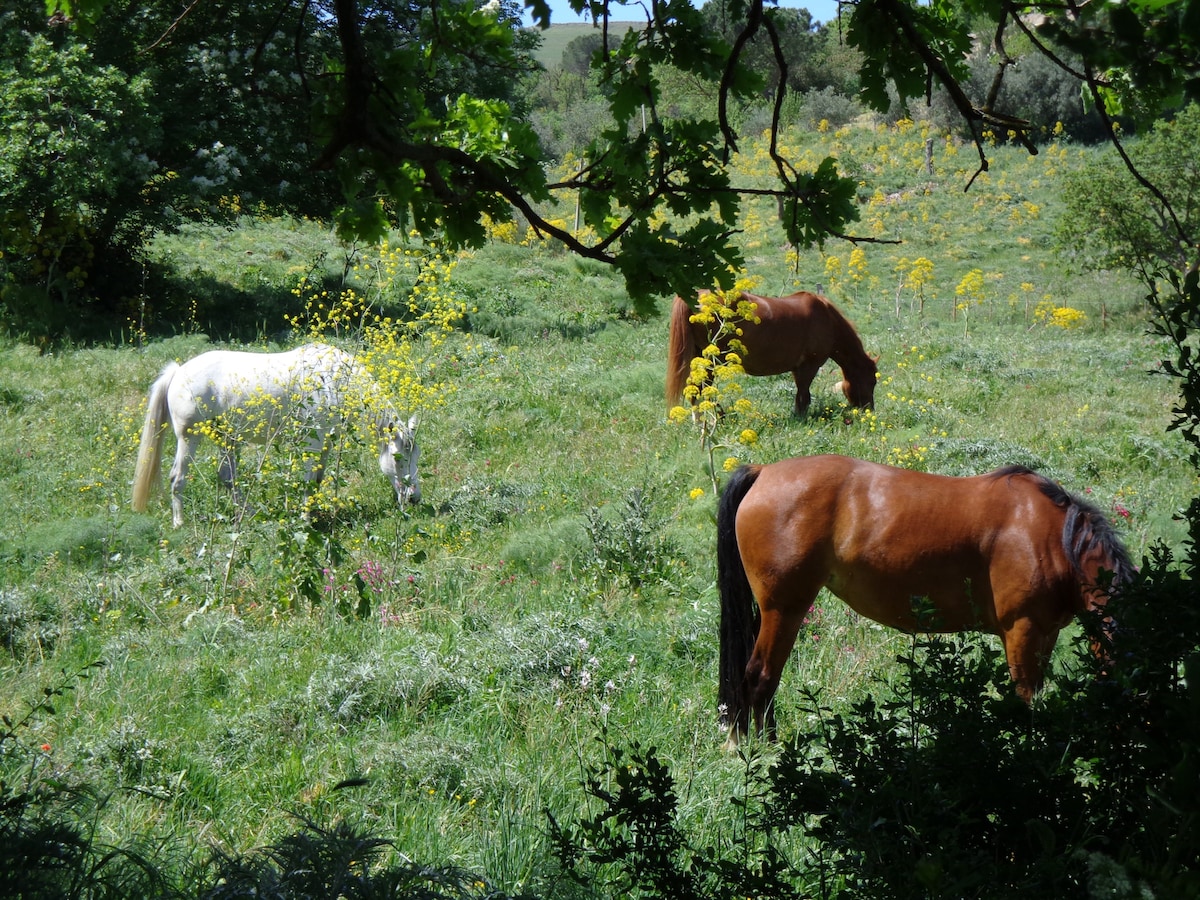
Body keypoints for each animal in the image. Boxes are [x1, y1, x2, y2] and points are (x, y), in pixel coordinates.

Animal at [130, 345, 420, 528]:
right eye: (397, 458)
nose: (413, 498)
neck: (334, 382)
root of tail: (178, 372)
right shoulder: (313, 443)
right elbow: (307, 482)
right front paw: (305, 521)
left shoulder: (325, 444)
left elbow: (316, 481)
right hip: (189, 438)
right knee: (177, 479)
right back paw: (179, 522)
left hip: (226, 439)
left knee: (227, 479)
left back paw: (247, 515)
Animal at [662, 290, 878, 417]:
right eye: (872, 381)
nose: (869, 410)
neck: (827, 319)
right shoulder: (809, 366)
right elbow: (803, 396)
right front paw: (800, 418)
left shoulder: (798, 368)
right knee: (701, 390)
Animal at [720, 453, 1132, 744]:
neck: (1053, 537)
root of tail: (764, 471)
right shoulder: (1022, 631)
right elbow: (1025, 699)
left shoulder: (1046, 634)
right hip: (784, 610)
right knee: (761, 676)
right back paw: (768, 751)